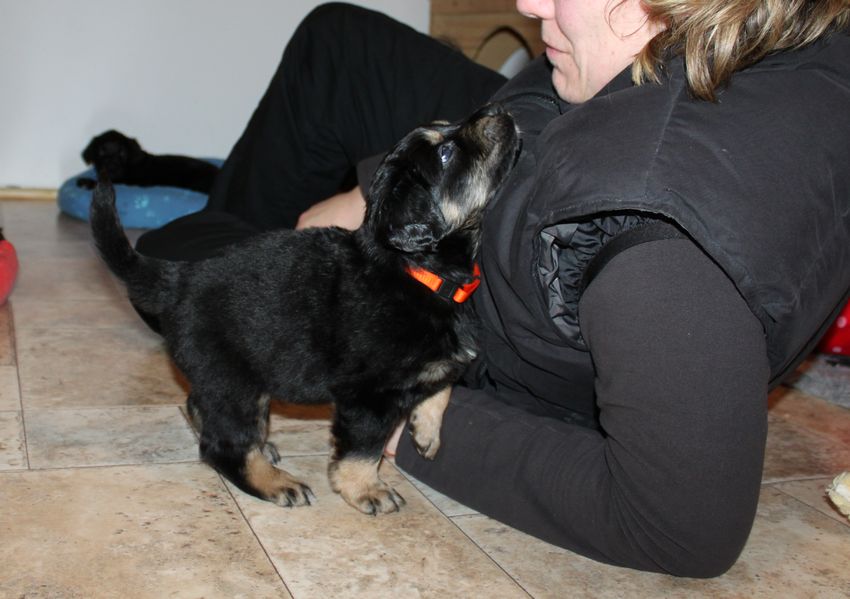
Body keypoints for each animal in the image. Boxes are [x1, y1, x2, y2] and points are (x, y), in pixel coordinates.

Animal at [89, 104, 519, 515]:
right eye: (446, 154)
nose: (502, 111)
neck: (417, 271)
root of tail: (180, 278)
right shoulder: (368, 395)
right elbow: (363, 449)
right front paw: (366, 490)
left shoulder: (433, 365)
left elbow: (442, 386)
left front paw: (426, 433)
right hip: (233, 379)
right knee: (222, 444)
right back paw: (274, 481)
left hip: (242, 375)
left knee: (203, 408)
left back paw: (262, 448)